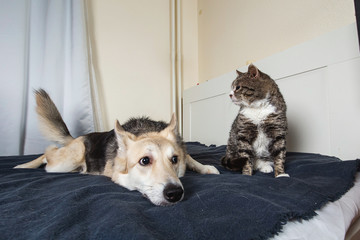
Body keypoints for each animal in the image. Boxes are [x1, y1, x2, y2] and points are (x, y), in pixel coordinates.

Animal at [14, 89, 219, 205]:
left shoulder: (183, 153)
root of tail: (78, 138)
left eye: (174, 159)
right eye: (144, 161)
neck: (146, 131)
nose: (175, 193)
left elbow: (191, 158)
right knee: (49, 153)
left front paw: (205, 167)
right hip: (66, 161)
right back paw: (26, 164)